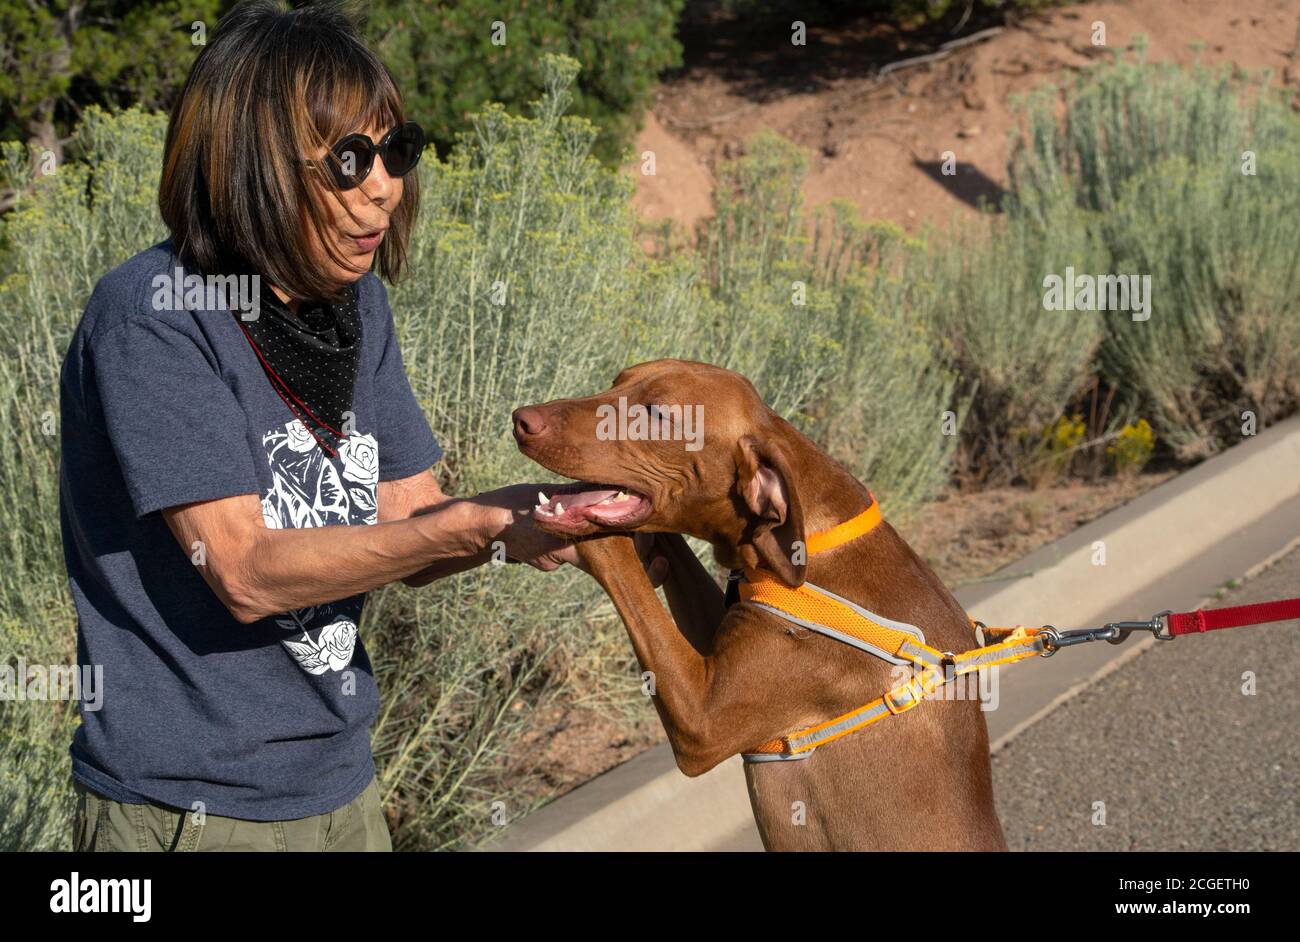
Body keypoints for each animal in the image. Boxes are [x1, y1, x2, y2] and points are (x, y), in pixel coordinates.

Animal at [512, 356, 1008, 847]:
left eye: (656, 415)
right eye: (616, 382)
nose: (522, 419)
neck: (813, 542)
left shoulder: (702, 720)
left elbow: (614, 555)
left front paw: (583, 533)